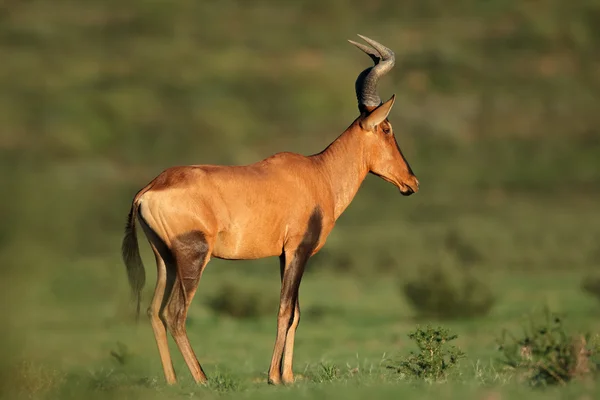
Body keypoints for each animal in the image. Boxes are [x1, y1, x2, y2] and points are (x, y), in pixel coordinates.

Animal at [122, 36, 420, 386]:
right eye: (387, 129)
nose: (411, 182)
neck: (317, 172)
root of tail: (149, 189)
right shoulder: (298, 250)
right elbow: (285, 311)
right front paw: (274, 377)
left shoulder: (284, 255)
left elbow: (296, 312)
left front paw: (288, 376)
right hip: (193, 256)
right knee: (174, 314)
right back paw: (202, 380)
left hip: (165, 259)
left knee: (154, 312)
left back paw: (173, 382)